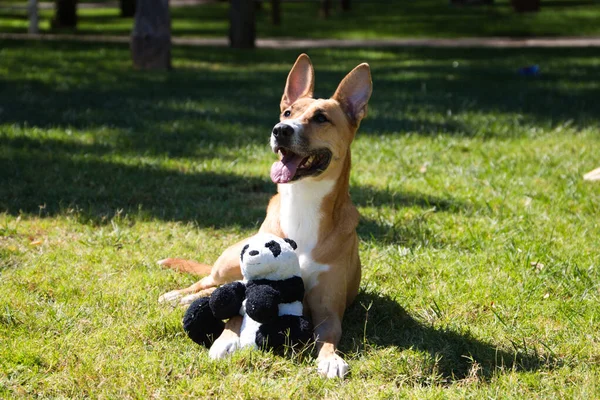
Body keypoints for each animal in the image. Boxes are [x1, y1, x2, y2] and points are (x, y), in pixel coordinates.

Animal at [158, 53, 376, 378]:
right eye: (287, 112)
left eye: (321, 118)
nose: (281, 129)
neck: (302, 202)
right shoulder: (246, 286)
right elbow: (235, 315)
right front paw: (226, 340)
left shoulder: (329, 310)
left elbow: (327, 337)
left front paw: (330, 359)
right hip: (227, 265)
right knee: (207, 283)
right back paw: (178, 296)